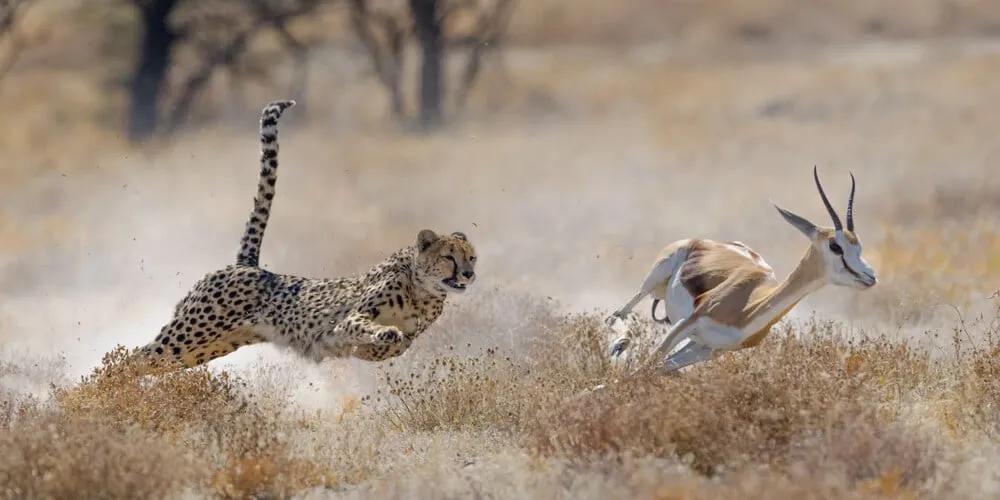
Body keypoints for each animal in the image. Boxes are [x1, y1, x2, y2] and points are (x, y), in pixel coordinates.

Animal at [135, 100, 477, 370]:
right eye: (449, 257)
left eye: (472, 258)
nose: (469, 274)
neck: (422, 290)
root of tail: (246, 264)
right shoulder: (349, 319)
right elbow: (371, 328)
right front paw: (384, 334)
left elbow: (398, 345)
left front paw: (382, 343)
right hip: (189, 334)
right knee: (133, 358)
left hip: (203, 348)